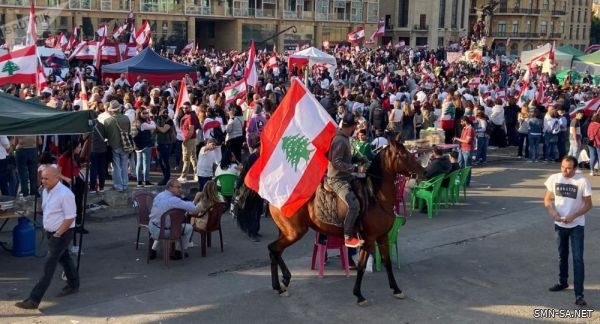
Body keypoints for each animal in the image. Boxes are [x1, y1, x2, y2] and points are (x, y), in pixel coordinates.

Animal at [270, 136, 424, 304]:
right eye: (404, 155)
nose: (424, 171)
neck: (376, 197)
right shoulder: (369, 239)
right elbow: (362, 266)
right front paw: (359, 295)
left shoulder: (382, 237)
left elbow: (387, 263)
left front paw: (396, 289)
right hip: (294, 232)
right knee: (274, 249)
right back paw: (280, 285)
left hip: (287, 232)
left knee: (275, 251)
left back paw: (283, 282)